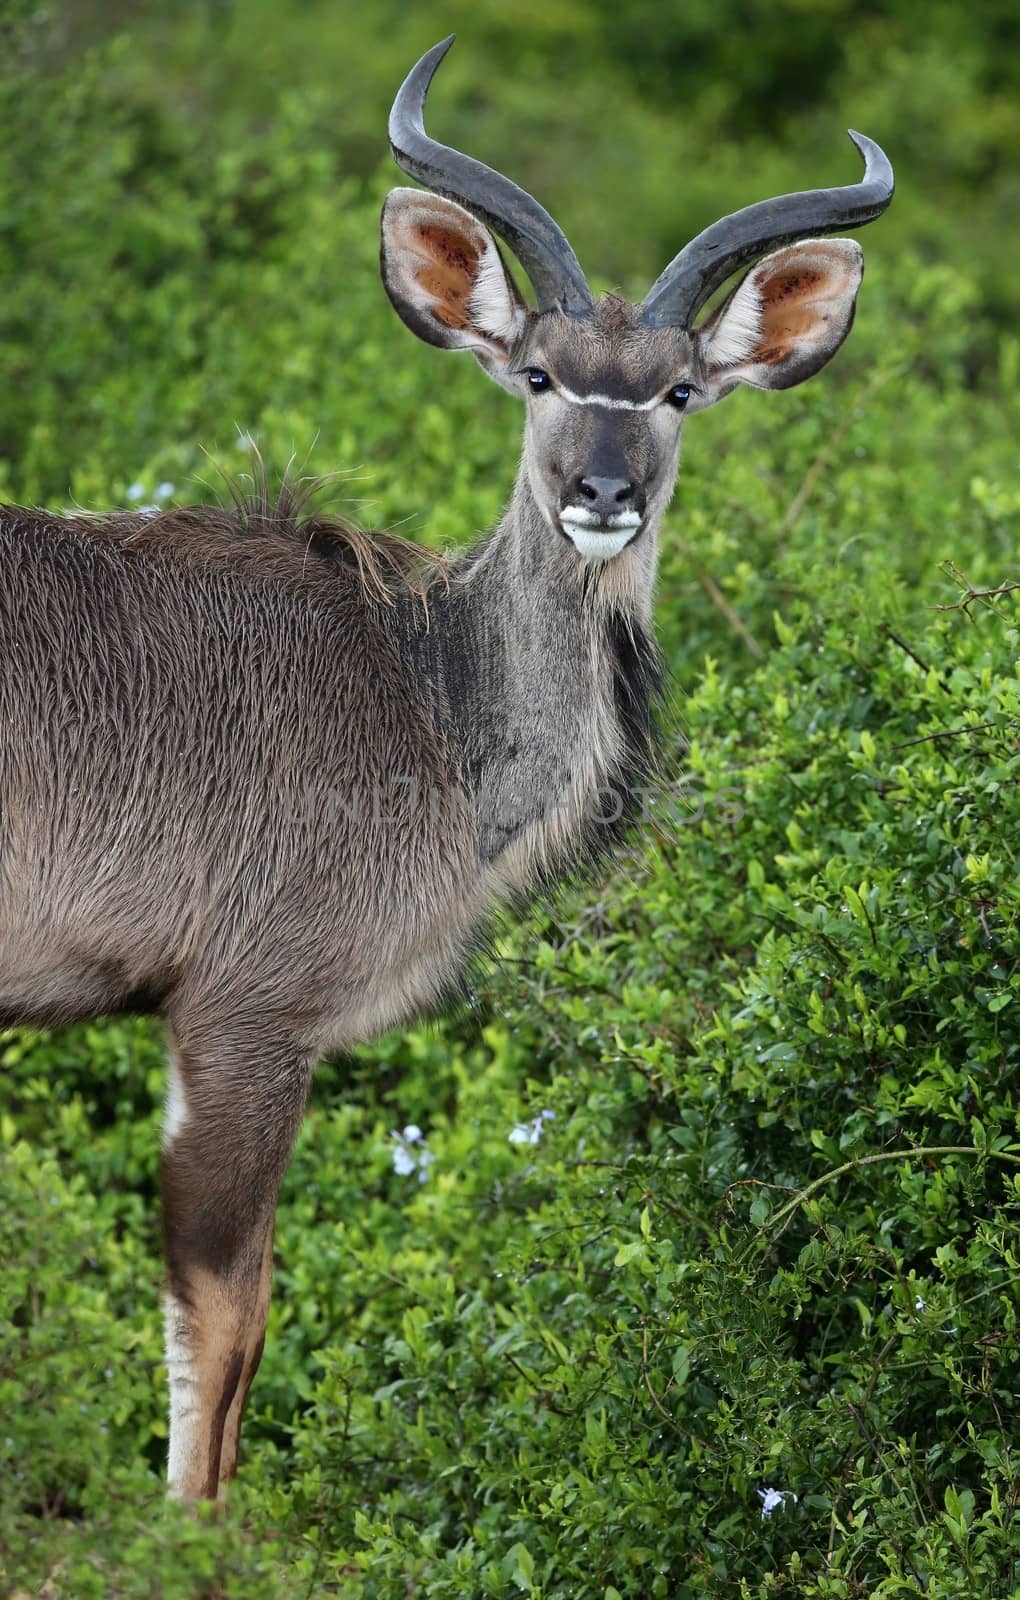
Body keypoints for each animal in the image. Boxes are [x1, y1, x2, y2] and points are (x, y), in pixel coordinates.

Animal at [0, 34, 895, 1497]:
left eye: (678, 391)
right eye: (537, 376)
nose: (603, 495)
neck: (426, 691)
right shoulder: (244, 1015)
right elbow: (223, 1320)